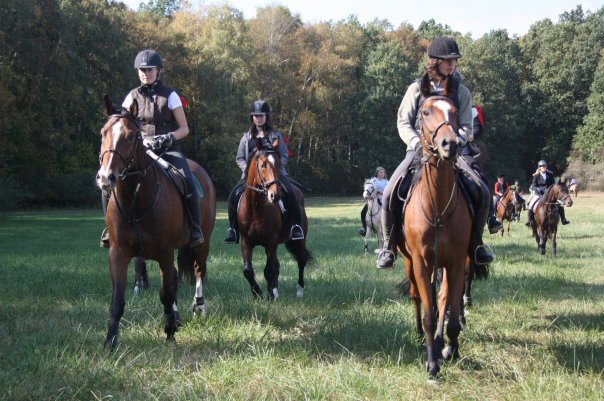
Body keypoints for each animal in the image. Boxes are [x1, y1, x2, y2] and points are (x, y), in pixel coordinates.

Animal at [96, 95, 215, 350]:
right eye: (103, 132)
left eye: (132, 136)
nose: (106, 177)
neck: (135, 199)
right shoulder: (118, 253)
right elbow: (117, 301)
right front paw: (110, 342)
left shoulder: (164, 252)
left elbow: (165, 294)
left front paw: (169, 331)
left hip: (202, 243)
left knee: (198, 270)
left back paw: (198, 306)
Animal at [238, 139, 314, 300]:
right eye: (262, 165)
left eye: (279, 164)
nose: (275, 195)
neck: (256, 207)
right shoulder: (246, 240)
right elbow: (248, 270)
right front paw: (258, 293)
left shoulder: (271, 241)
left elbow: (269, 269)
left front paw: (270, 295)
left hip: (299, 239)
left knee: (301, 260)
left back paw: (299, 290)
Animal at [399, 96, 472, 381]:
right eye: (426, 112)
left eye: (454, 112)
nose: (450, 144)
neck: (437, 207)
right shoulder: (421, 262)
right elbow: (429, 313)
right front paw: (431, 365)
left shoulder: (456, 262)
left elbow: (449, 310)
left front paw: (450, 348)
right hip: (410, 263)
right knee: (417, 297)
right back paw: (421, 337)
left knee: (441, 298)